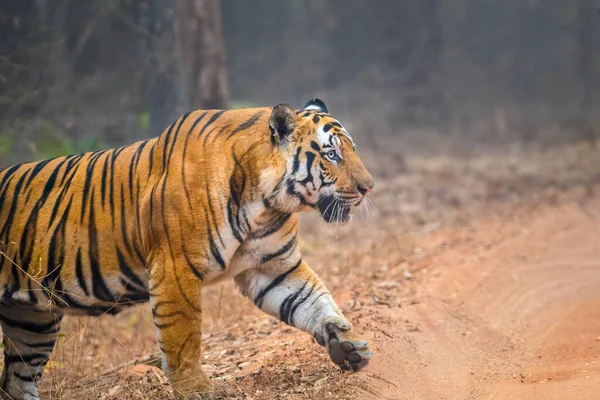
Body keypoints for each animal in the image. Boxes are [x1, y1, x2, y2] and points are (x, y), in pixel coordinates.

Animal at [0, 98, 372, 398]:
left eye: (352, 149)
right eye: (332, 155)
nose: (368, 187)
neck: (266, 203)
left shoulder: (274, 267)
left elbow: (315, 301)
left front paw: (346, 343)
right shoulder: (175, 270)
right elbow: (183, 337)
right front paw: (197, 389)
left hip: (32, 323)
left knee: (17, 383)